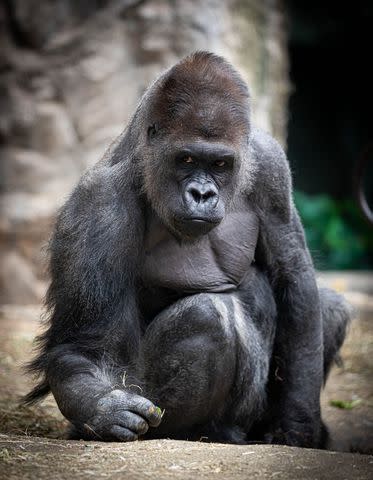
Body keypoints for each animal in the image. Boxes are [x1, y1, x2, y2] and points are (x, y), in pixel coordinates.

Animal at [24, 51, 350, 446]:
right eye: (187, 160)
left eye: (221, 164)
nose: (202, 193)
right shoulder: (98, 203)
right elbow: (83, 346)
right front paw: (103, 409)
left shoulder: (270, 165)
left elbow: (295, 282)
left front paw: (298, 422)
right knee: (207, 315)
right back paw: (200, 431)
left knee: (327, 308)